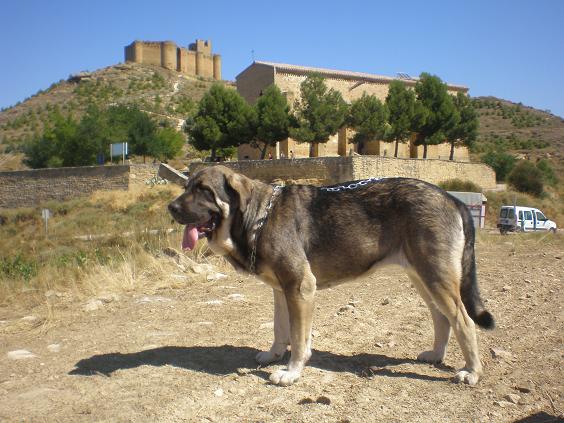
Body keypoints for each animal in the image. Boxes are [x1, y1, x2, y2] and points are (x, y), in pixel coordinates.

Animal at [167, 165, 494, 388]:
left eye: (204, 190)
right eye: (187, 186)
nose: (170, 207)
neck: (259, 216)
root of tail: (452, 198)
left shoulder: (300, 288)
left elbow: (299, 339)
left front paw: (292, 372)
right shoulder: (281, 290)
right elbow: (280, 329)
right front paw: (274, 354)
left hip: (436, 279)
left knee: (464, 322)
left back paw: (472, 371)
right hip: (423, 279)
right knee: (442, 318)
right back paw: (436, 354)